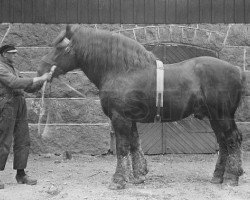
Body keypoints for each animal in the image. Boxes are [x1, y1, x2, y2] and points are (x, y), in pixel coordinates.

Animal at [38, 25, 247, 189]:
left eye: (61, 48)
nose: (41, 70)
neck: (122, 71)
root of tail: (237, 70)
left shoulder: (119, 118)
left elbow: (122, 147)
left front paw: (118, 180)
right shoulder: (129, 119)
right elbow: (134, 144)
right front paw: (138, 175)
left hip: (222, 115)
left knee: (232, 140)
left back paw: (232, 177)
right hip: (214, 117)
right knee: (223, 142)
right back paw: (218, 176)